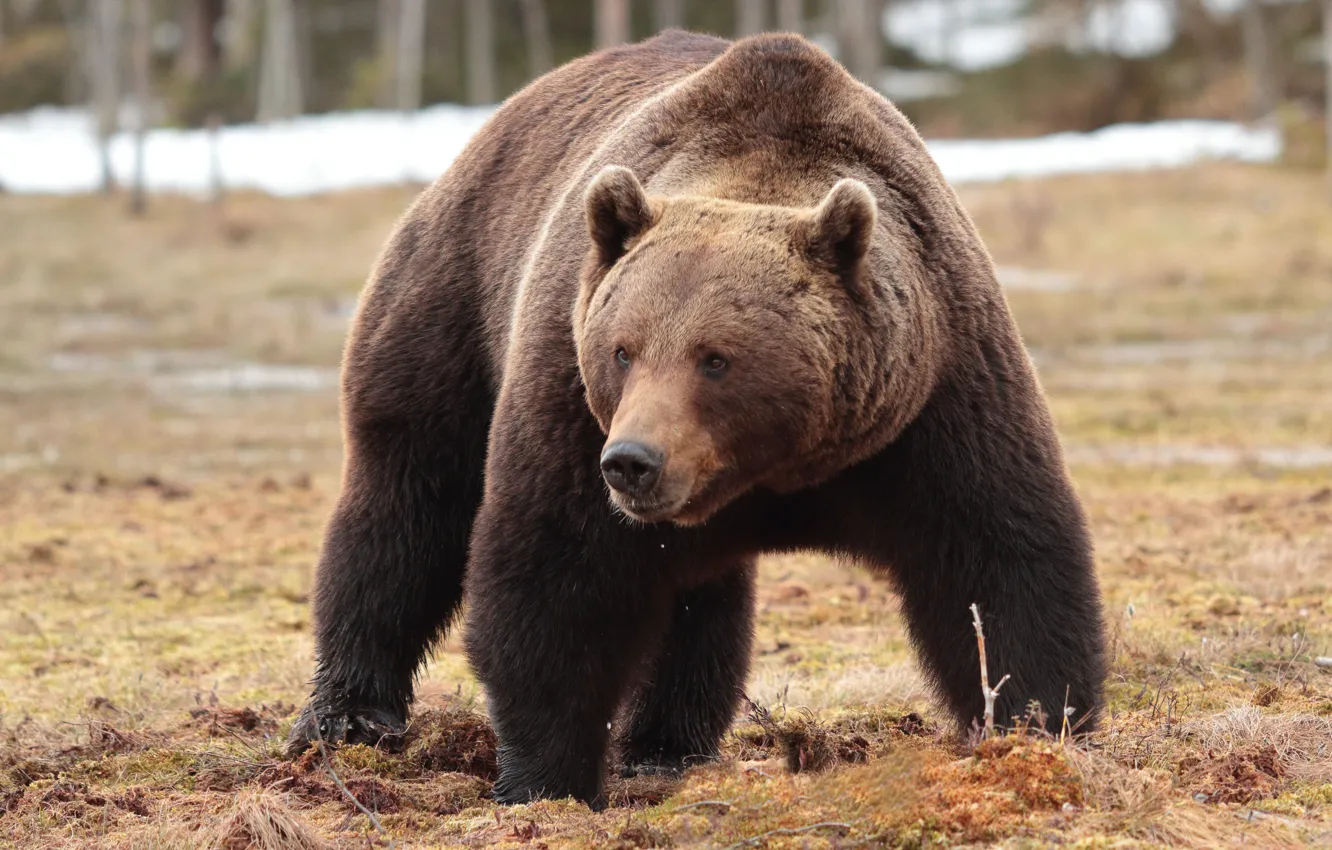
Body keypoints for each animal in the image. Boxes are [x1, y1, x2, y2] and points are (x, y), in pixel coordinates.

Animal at [284, 29, 1107, 809]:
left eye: (716, 357)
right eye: (623, 349)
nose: (633, 461)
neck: (777, 470)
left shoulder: (933, 396)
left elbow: (997, 555)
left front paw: (1041, 727)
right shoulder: (568, 404)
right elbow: (554, 577)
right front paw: (545, 778)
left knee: (696, 598)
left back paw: (667, 743)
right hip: (450, 307)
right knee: (406, 508)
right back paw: (347, 717)